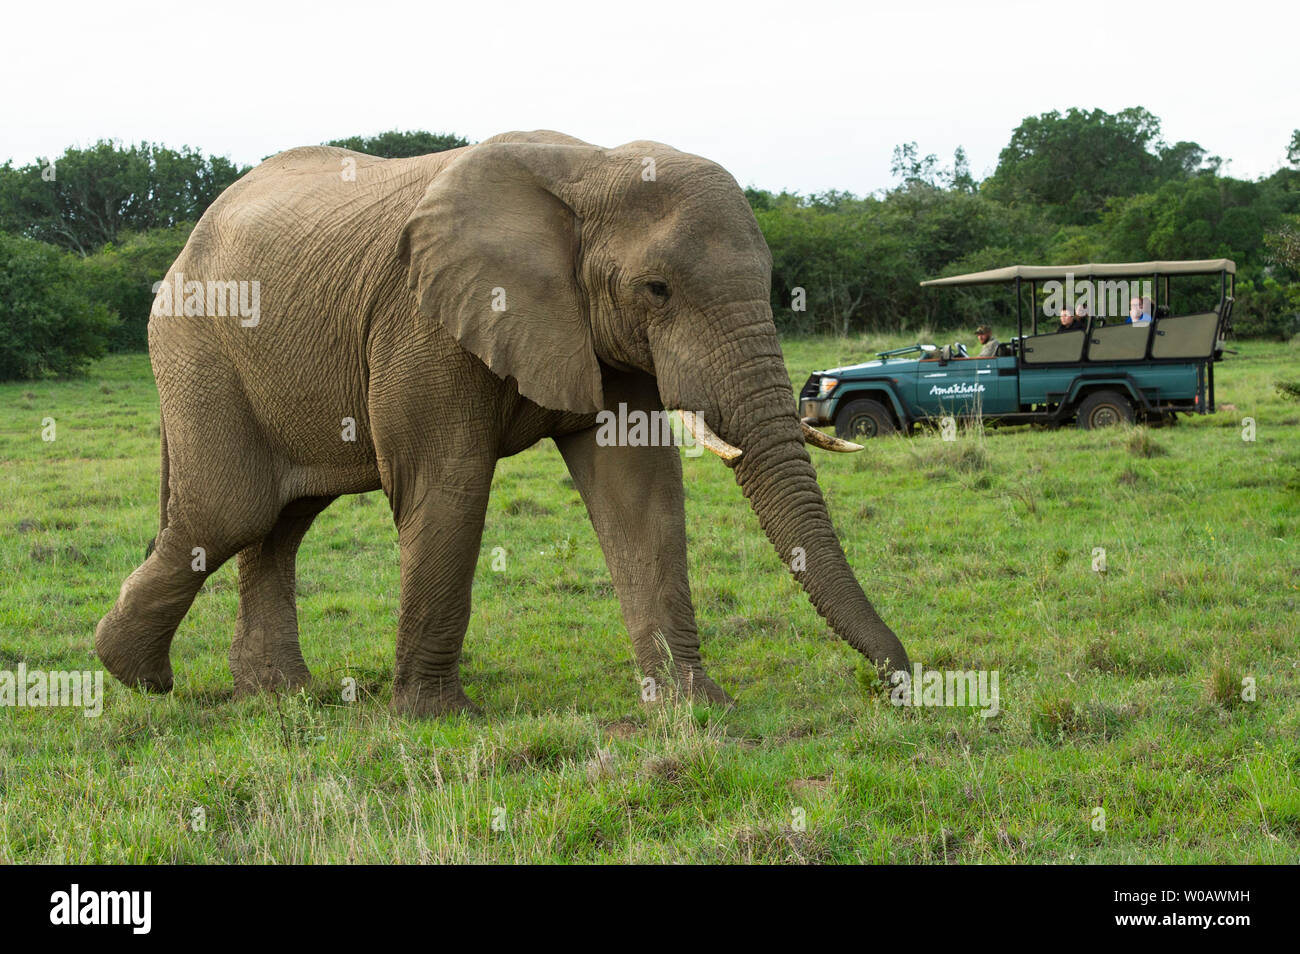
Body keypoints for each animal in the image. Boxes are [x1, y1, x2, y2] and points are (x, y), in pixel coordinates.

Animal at [94, 128, 904, 717]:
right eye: (657, 290)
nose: (898, 684)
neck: (591, 169)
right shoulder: (422, 319)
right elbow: (449, 484)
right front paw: (437, 718)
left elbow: (638, 490)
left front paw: (694, 706)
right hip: (197, 349)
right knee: (233, 511)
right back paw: (137, 677)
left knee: (281, 521)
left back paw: (280, 697)